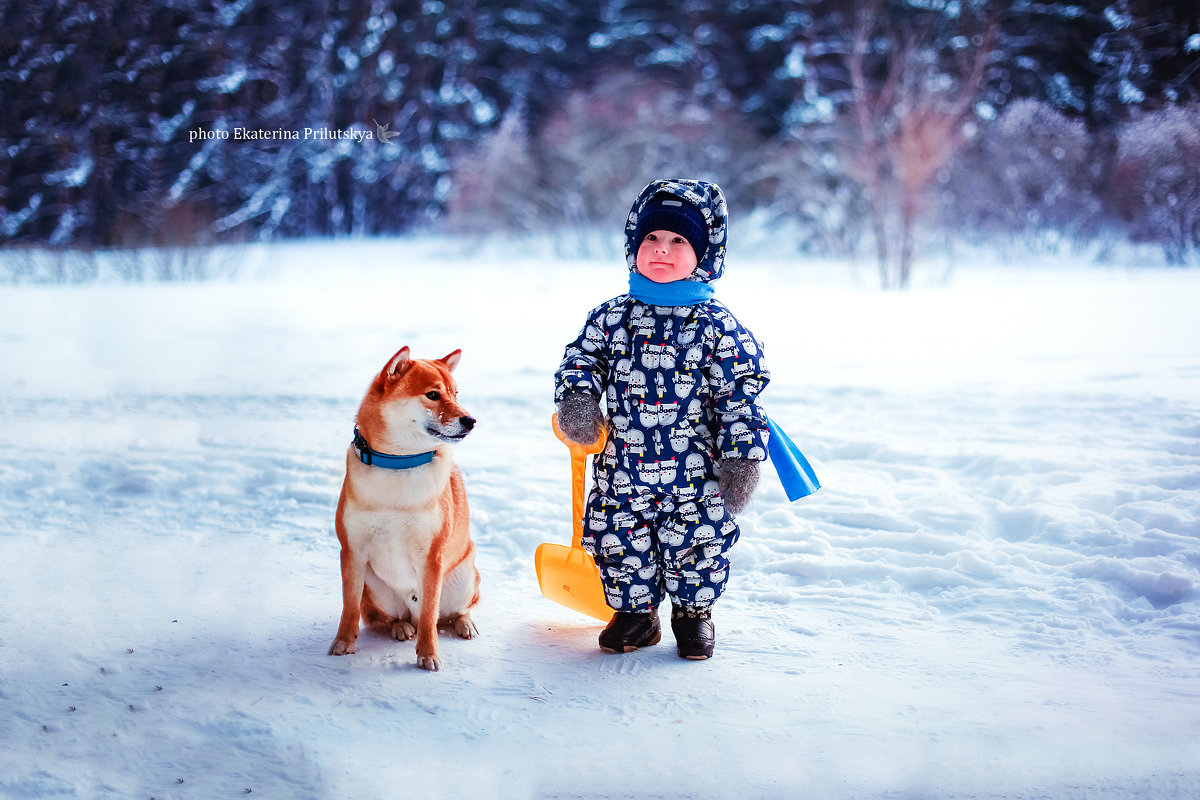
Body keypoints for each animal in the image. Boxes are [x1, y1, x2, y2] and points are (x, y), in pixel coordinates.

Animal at [328, 347, 482, 671]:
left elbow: (429, 616)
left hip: (463, 577)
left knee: (450, 613)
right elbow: (350, 607)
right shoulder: (352, 551)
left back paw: (464, 624)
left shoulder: (431, 557)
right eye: (433, 395)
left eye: (455, 394)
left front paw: (429, 654)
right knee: (383, 617)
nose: (471, 420)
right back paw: (399, 626)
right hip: (374, 585)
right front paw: (343, 642)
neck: (399, 462)